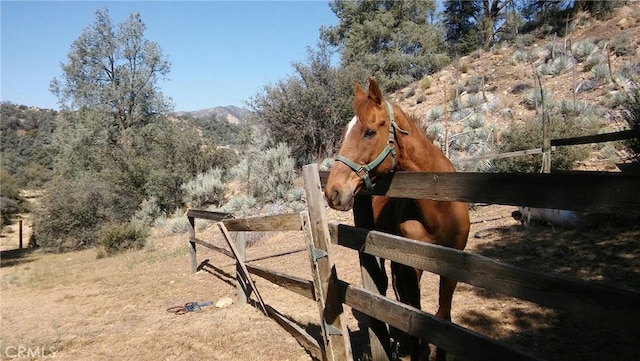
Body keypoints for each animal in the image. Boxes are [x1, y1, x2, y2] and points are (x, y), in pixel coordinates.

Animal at [324, 78, 470, 360]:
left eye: (369, 132)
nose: (332, 192)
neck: (439, 206)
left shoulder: (451, 268)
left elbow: (443, 316)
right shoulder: (410, 264)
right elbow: (413, 314)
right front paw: (414, 349)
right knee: (385, 287)